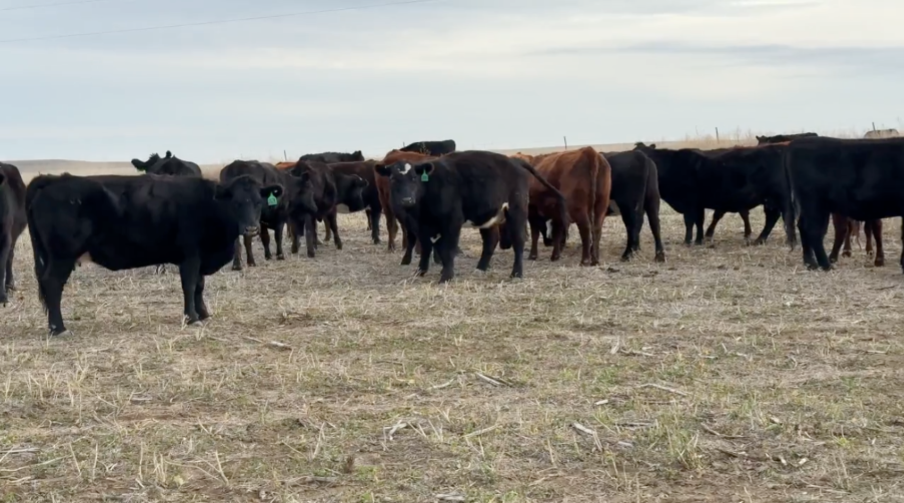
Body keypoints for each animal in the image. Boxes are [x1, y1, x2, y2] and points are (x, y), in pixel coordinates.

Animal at [25, 172, 283, 336]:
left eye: (259, 201)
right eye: (237, 202)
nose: (251, 228)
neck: (210, 205)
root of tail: (52, 179)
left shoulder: (199, 257)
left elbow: (199, 286)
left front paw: (203, 313)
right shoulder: (190, 256)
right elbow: (190, 285)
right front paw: (191, 317)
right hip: (62, 256)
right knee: (52, 284)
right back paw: (59, 328)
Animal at [376, 150, 565, 283]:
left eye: (414, 178)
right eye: (393, 178)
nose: (407, 200)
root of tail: (514, 160)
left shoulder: (452, 221)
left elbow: (447, 249)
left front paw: (446, 276)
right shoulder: (421, 226)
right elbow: (428, 247)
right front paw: (421, 271)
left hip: (516, 211)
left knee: (518, 241)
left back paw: (516, 273)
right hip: (489, 217)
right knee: (490, 240)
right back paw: (481, 268)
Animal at [633, 142, 796, 248]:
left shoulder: (689, 203)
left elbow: (689, 222)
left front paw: (687, 241)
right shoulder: (698, 204)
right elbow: (699, 221)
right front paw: (699, 240)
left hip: (780, 197)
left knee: (785, 216)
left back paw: (789, 241)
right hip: (770, 200)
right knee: (772, 218)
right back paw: (760, 240)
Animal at [784, 137, 904, 271]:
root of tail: (797, 142)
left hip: (815, 206)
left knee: (804, 227)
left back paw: (811, 263)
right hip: (812, 203)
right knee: (812, 229)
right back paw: (825, 265)